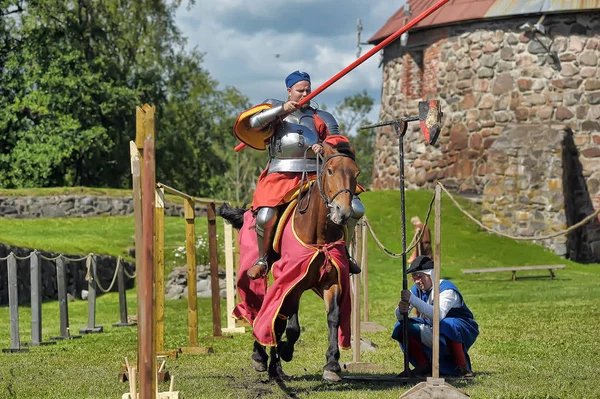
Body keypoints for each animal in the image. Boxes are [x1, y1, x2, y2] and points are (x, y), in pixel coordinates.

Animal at [220, 140, 360, 382]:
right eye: (330, 171)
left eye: (356, 174)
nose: (343, 213)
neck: (318, 234)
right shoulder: (292, 279)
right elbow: (289, 322)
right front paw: (284, 350)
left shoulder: (331, 281)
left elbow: (333, 317)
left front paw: (332, 364)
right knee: (263, 308)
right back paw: (261, 356)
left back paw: (275, 364)